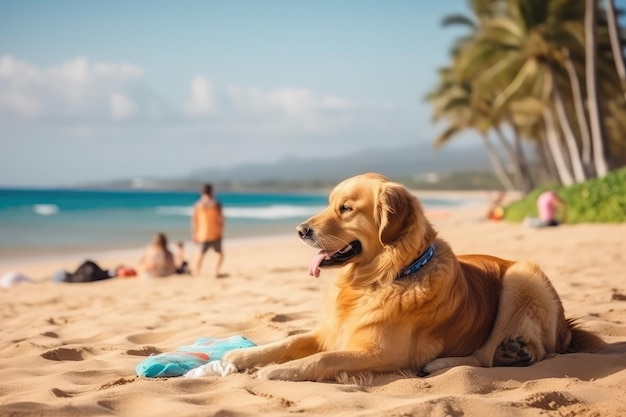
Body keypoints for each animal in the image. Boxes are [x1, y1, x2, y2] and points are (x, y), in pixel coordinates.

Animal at [222, 172, 604, 380]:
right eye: (329, 203)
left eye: (345, 208)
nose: (300, 230)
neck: (379, 279)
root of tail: (567, 328)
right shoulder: (330, 331)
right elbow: (288, 341)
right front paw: (242, 358)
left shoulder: (383, 352)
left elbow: (322, 358)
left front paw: (276, 371)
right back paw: (513, 353)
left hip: (522, 275)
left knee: (487, 355)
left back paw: (447, 363)